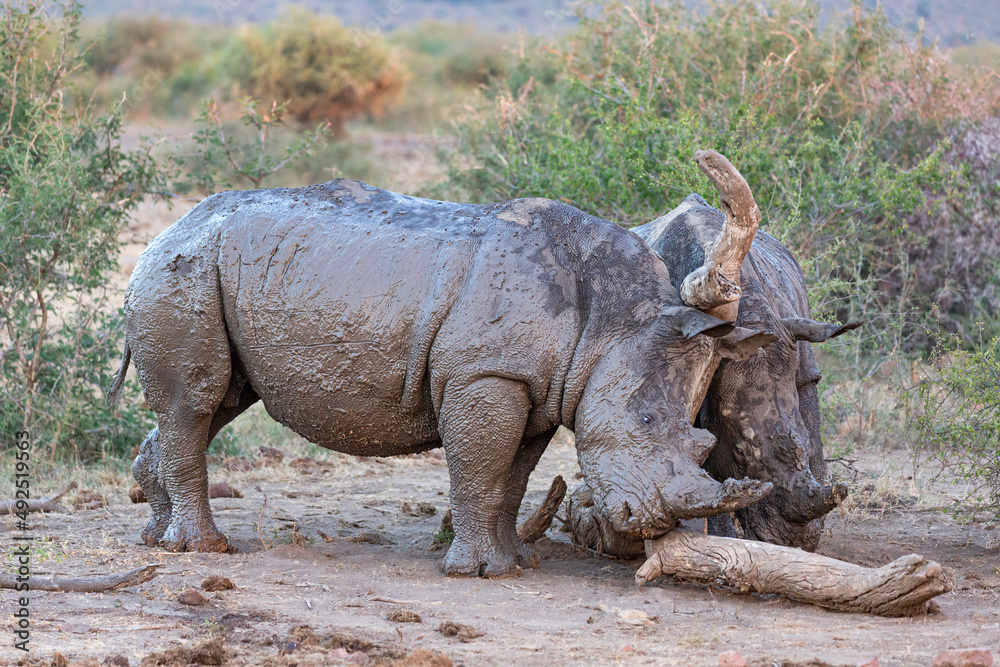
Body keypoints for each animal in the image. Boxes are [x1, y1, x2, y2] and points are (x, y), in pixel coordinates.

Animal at [107, 162, 774, 577]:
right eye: (644, 422)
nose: (649, 524)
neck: (614, 320)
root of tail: (169, 230)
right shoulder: (487, 373)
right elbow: (480, 467)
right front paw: (475, 573)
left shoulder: (534, 386)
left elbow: (513, 477)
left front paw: (516, 565)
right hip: (184, 271)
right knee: (194, 403)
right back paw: (206, 549)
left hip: (216, 269)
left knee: (215, 403)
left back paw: (157, 537)